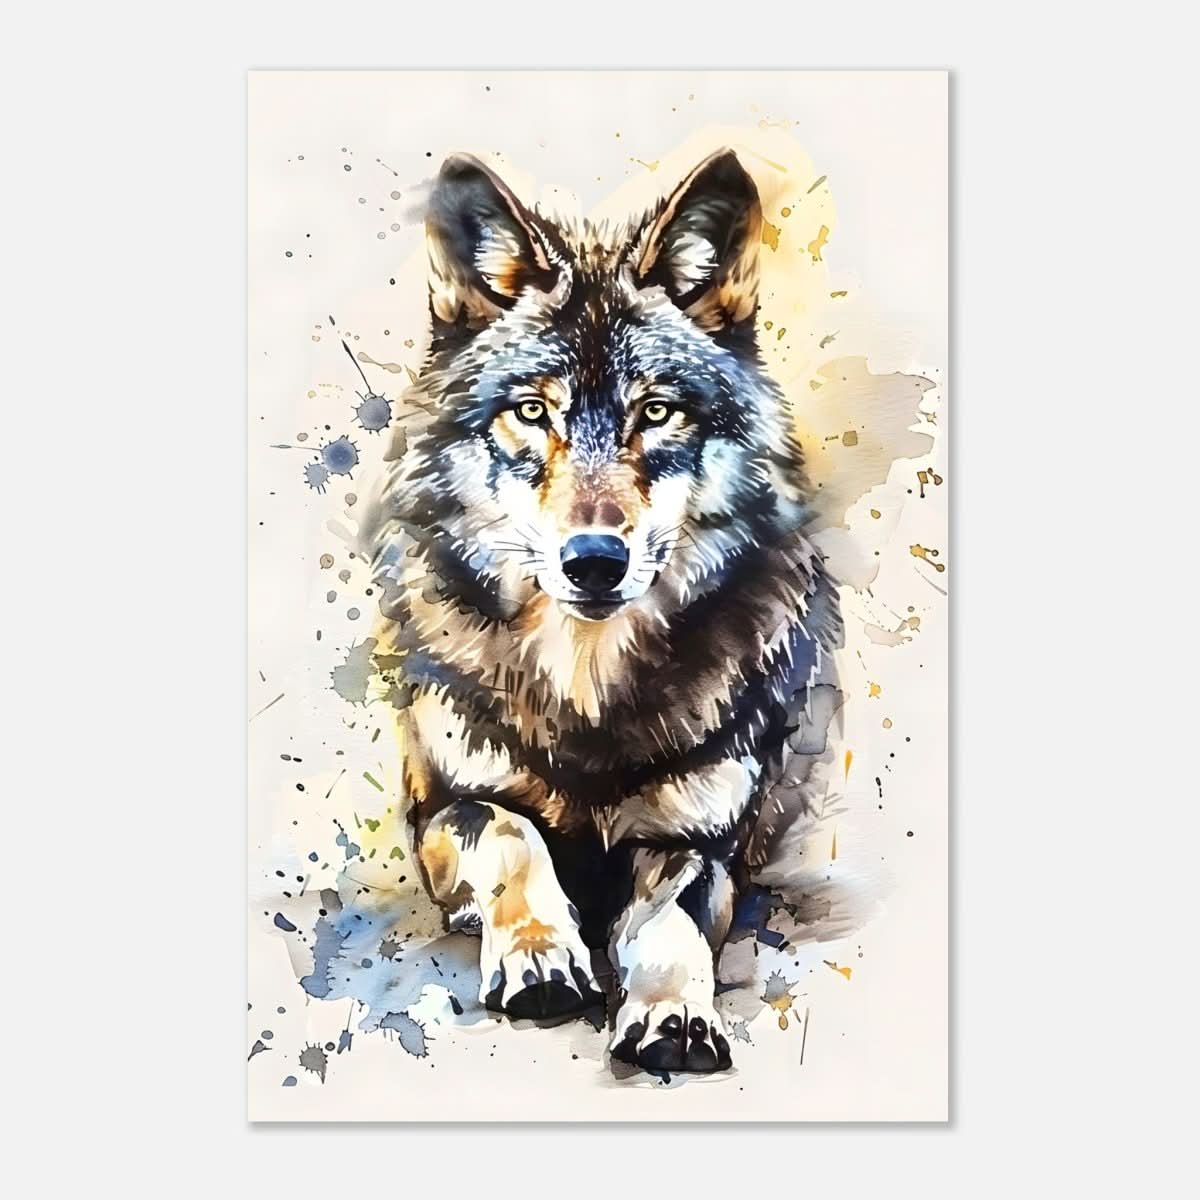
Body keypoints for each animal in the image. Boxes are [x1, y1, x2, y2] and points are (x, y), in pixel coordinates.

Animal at [364, 148, 843, 1074]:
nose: (593, 561)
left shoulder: (700, 842)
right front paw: (541, 956)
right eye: (531, 411)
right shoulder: (445, 806)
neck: (586, 691)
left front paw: (672, 1015)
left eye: (655, 411)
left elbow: (670, 930)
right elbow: (512, 837)